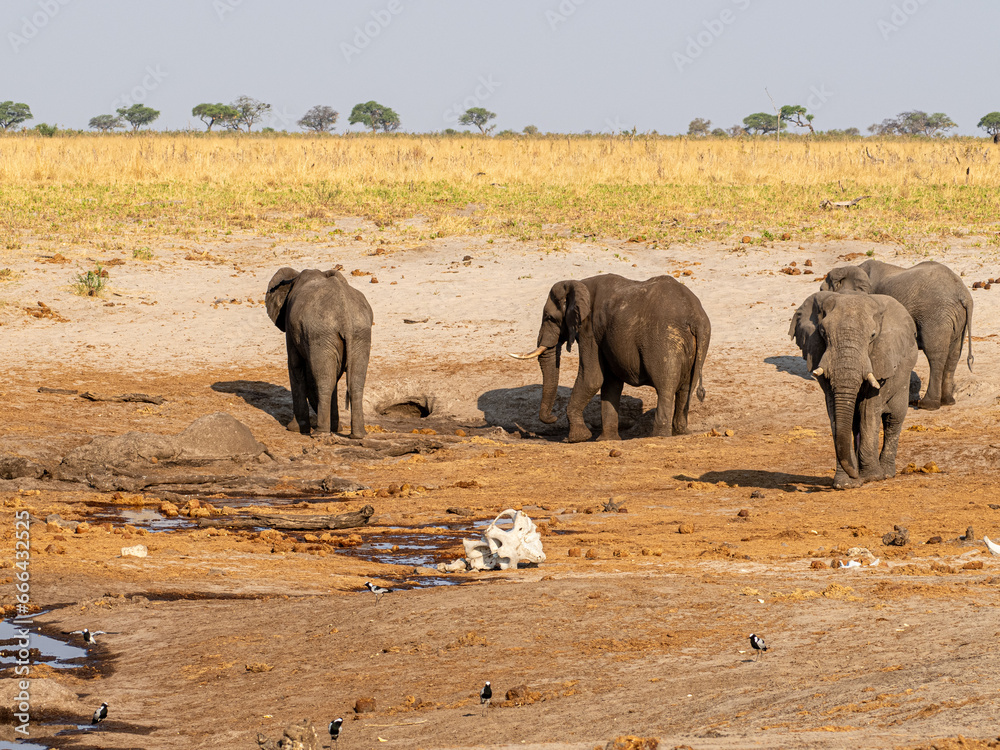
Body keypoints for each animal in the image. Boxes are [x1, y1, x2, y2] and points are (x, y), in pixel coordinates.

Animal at [265, 268, 373, 439]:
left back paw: (320, 434)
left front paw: (294, 429)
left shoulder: (291, 326)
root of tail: (345, 316)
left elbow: (296, 366)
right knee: (354, 382)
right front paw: (336, 428)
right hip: (360, 334)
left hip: (324, 333)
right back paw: (357, 435)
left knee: (325, 382)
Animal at [512, 274, 711, 442]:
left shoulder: (589, 329)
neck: (580, 283)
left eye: (550, 318)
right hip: (699, 344)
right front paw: (606, 440)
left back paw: (659, 436)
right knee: (686, 388)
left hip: (665, 340)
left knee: (665, 388)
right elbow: (610, 382)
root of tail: (695, 317)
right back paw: (680, 433)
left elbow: (592, 378)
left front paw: (577, 439)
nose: (552, 417)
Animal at [790, 291, 918, 489]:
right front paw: (845, 484)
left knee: (894, 418)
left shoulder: (880, 357)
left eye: (873, 335)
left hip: (904, 375)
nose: (855, 475)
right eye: (822, 333)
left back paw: (886, 473)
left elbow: (869, 410)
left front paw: (872, 478)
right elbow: (835, 412)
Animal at [820, 259, 973, 410]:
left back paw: (927, 405)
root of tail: (964, 294)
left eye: (822, 290)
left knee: (935, 355)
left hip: (936, 315)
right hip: (957, 318)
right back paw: (948, 401)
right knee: (954, 355)